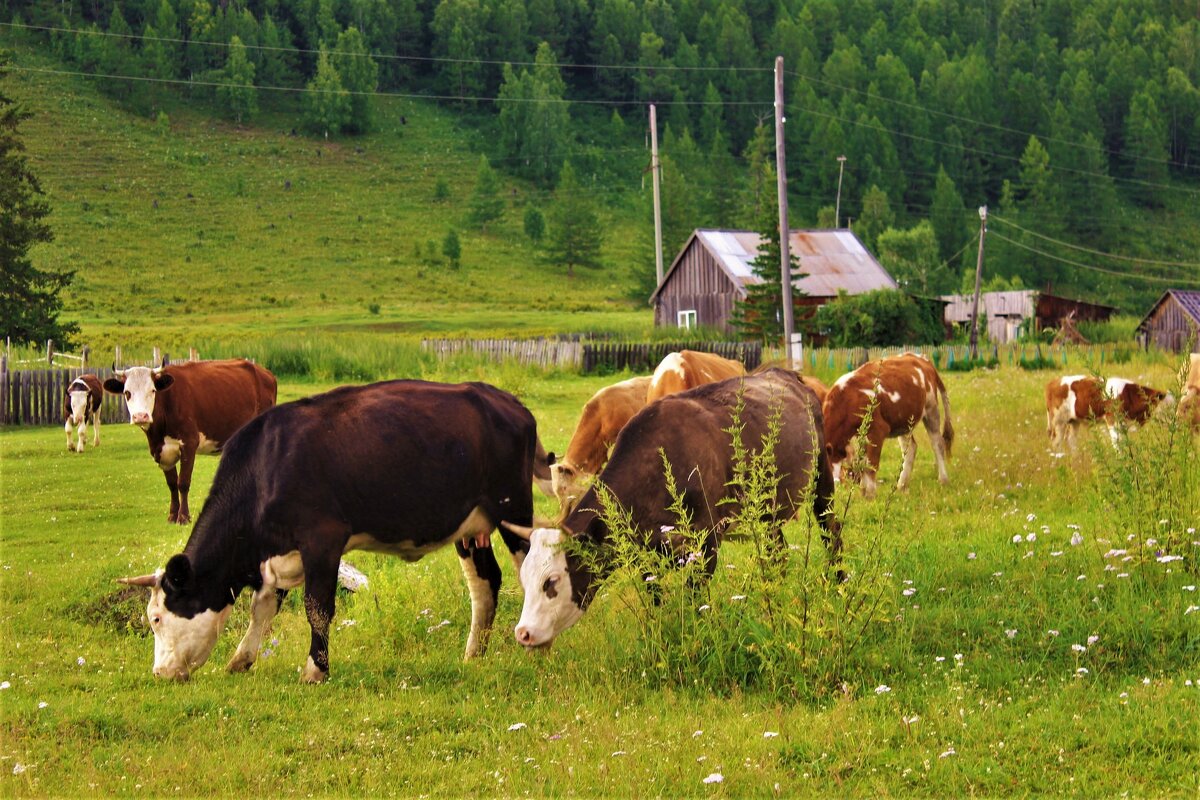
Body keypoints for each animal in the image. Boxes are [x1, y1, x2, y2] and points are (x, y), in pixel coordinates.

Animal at [103, 357, 276, 522]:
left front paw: (184, 516)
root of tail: (264, 372)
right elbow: (172, 483)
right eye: (127, 392)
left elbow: (183, 482)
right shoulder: (161, 451)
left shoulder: (189, 444)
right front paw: (173, 515)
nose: (140, 416)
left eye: (152, 390)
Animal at [118, 381, 540, 681]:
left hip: (513, 509)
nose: (160, 673)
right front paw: (241, 659)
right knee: (485, 584)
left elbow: (317, 608)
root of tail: (507, 401)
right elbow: (262, 609)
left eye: (157, 619)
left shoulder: (322, 541)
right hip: (472, 526)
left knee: (530, 570)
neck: (266, 467)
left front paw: (315, 670)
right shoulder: (278, 553)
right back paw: (474, 654)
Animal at [820, 352, 950, 496]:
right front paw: (863, 491)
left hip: (931, 408)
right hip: (903, 422)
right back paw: (902, 485)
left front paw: (870, 494)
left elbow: (870, 463)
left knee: (937, 443)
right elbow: (862, 461)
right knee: (910, 448)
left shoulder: (877, 429)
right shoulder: (861, 434)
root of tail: (922, 358)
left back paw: (943, 479)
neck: (847, 399)